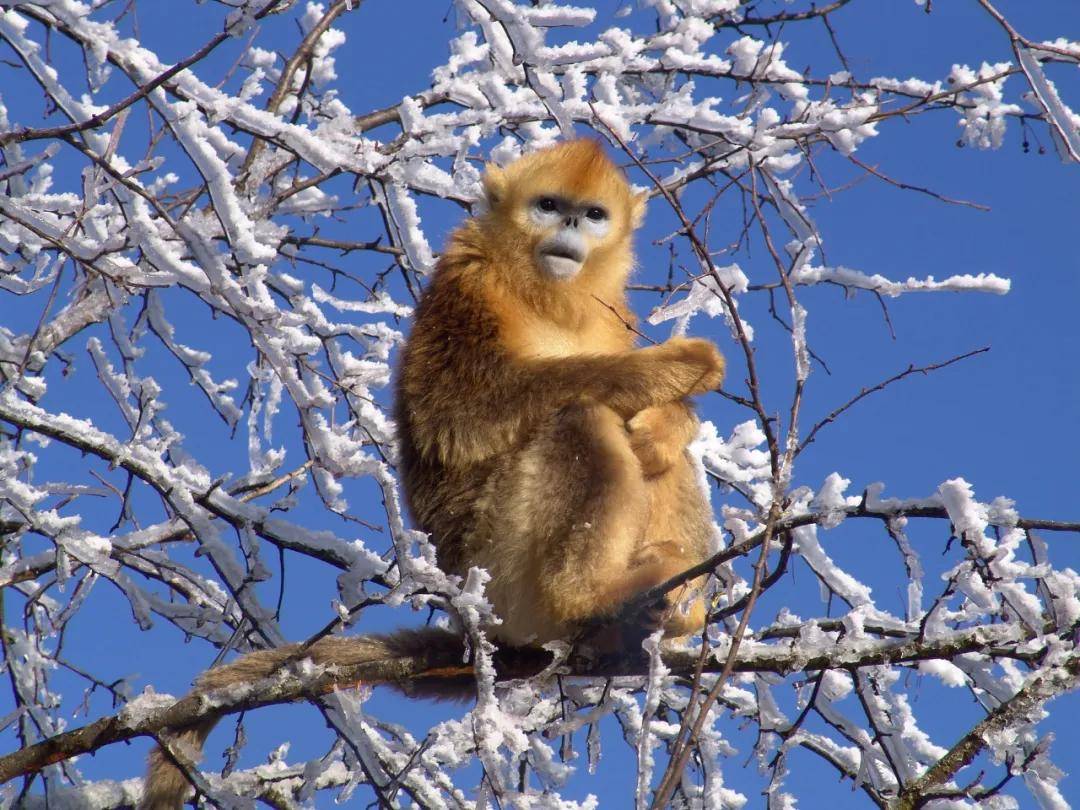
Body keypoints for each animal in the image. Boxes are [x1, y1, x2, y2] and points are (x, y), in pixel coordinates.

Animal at [137, 141, 725, 810]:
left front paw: (669, 420)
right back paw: (590, 596)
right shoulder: (465, 281)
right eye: (549, 205)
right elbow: (464, 413)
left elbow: (659, 435)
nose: (572, 225)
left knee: (658, 459)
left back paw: (664, 605)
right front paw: (674, 369)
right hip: (497, 568)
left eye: (594, 214)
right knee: (581, 417)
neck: (552, 297)